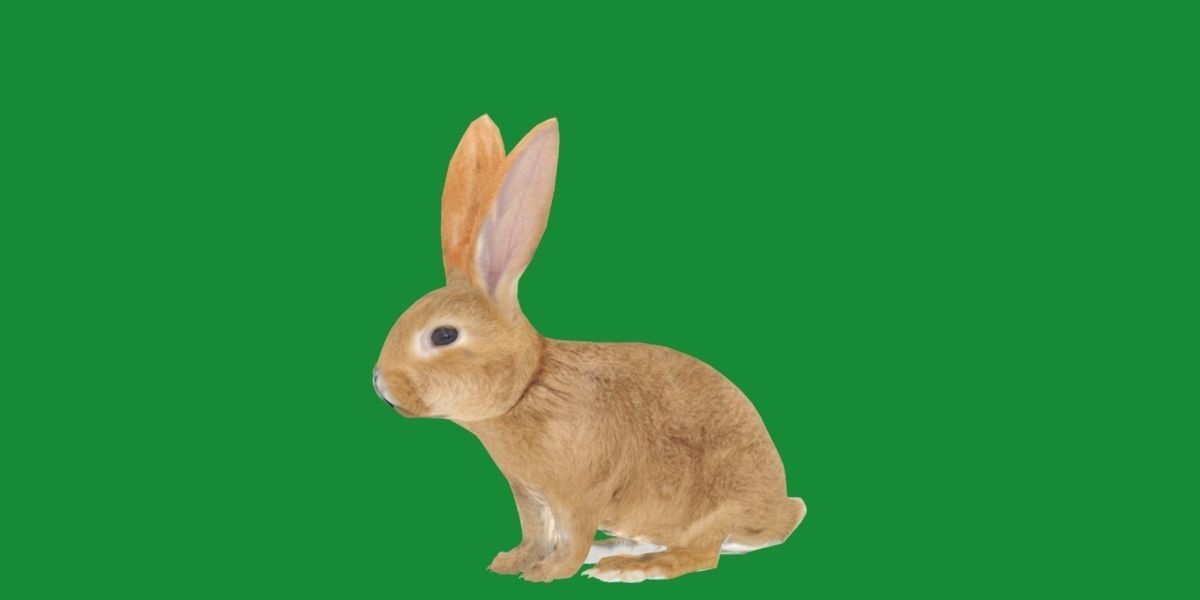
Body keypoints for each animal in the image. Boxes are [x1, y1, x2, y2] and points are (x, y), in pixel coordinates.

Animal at [373, 116, 806, 583]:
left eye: (443, 336)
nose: (379, 383)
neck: (529, 387)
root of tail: (782, 513)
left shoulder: (579, 493)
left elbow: (571, 535)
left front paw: (549, 572)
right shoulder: (528, 493)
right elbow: (534, 532)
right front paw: (512, 562)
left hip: (716, 507)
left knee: (702, 554)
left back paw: (628, 567)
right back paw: (613, 549)